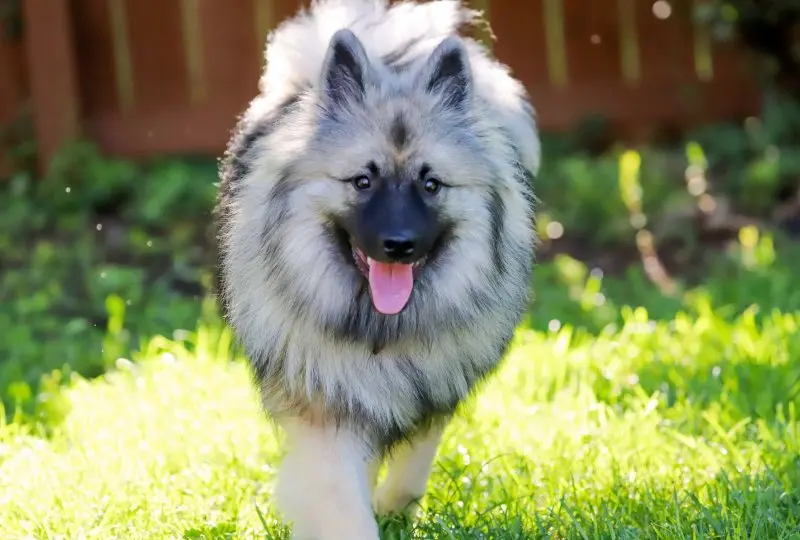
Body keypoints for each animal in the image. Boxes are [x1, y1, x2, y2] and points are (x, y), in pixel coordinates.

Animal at [212, 1, 540, 536]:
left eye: (431, 184)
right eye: (362, 181)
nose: (399, 245)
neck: (382, 327)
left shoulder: (433, 394)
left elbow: (414, 463)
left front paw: (394, 509)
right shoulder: (327, 414)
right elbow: (343, 503)